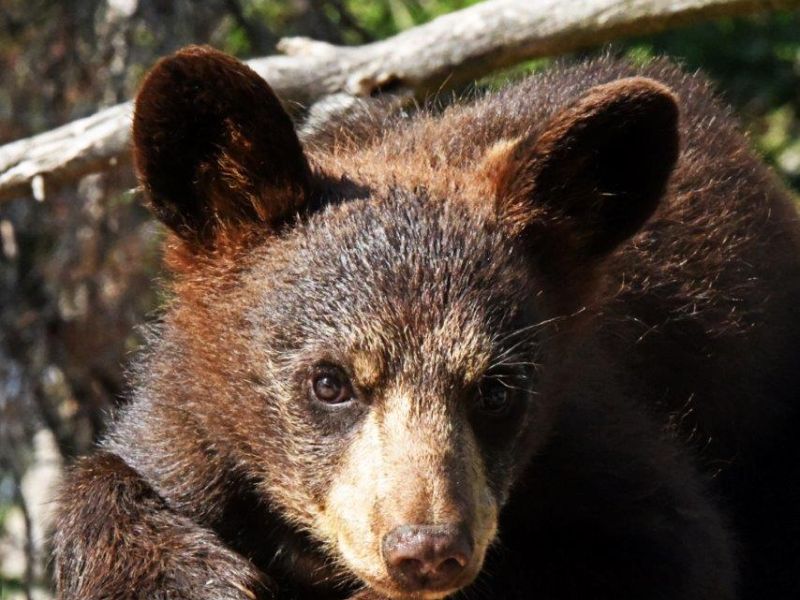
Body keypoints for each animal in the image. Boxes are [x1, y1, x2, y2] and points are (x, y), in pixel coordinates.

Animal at [52, 45, 800, 600]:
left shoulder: (595, 438)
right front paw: (186, 576)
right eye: (329, 381)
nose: (427, 550)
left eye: (497, 390)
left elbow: (673, 546)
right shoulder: (185, 428)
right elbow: (113, 478)